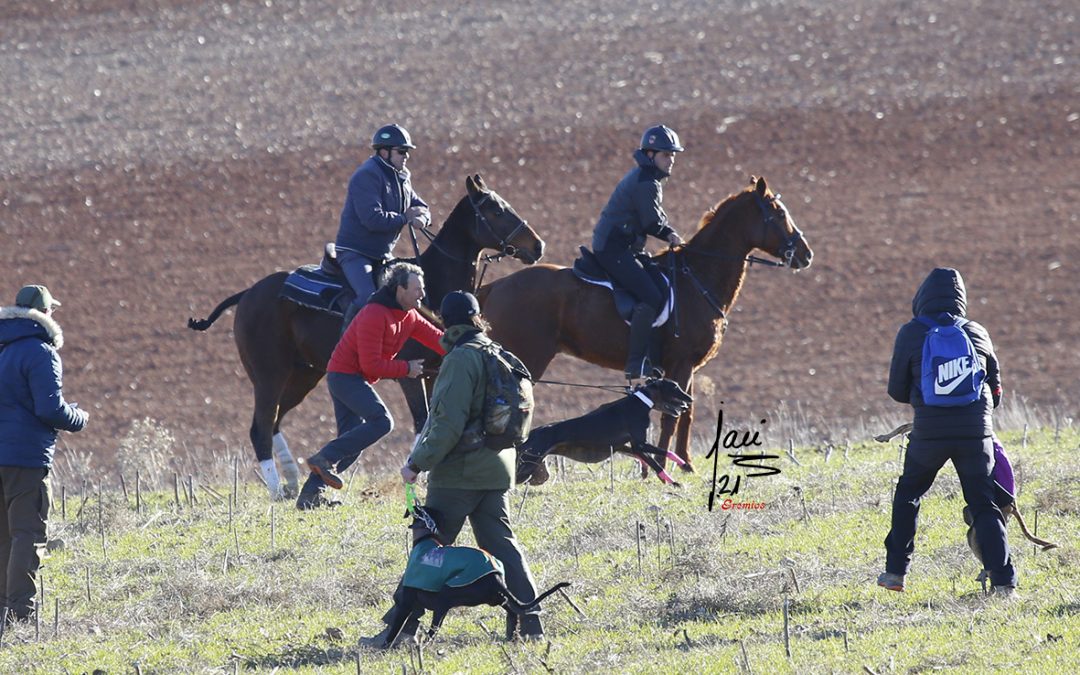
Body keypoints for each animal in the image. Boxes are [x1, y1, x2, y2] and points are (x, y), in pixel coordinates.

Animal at [186, 176, 544, 496]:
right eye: (496, 210)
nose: (537, 245)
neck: (429, 287)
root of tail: (248, 294)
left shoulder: (437, 373)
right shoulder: (410, 375)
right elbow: (422, 420)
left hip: (303, 375)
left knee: (273, 422)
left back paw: (291, 482)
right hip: (269, 376)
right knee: (260, 428)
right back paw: (276, 489)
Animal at [365, 505, 574, 648]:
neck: (426, 538)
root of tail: (496, 577)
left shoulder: (407, 601)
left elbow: (397, 625)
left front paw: (385, 646)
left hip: (450, 595)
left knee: (435, 626)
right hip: (494, 598)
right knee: (512, 610)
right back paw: (513, 635)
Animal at [479, 178, 812, 473]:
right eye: (778, 214)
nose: (806, 254)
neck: (697, 278)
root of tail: (496, 286)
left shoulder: (686, 367)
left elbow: (687, 412)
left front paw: (685, 464)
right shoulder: (681, 363)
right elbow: (672, 417)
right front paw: (662, 467)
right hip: (527, 360)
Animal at [518, 375, 695, 486]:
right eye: (675, 386)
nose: (690, 399)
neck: (639, 403)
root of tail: (532, 434)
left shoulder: (625, 446)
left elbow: (649, 458)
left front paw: (683, 467)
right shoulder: (640, 444)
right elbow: (660, 459)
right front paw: (675, 482)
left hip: (538, 471)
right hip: (528, 465)